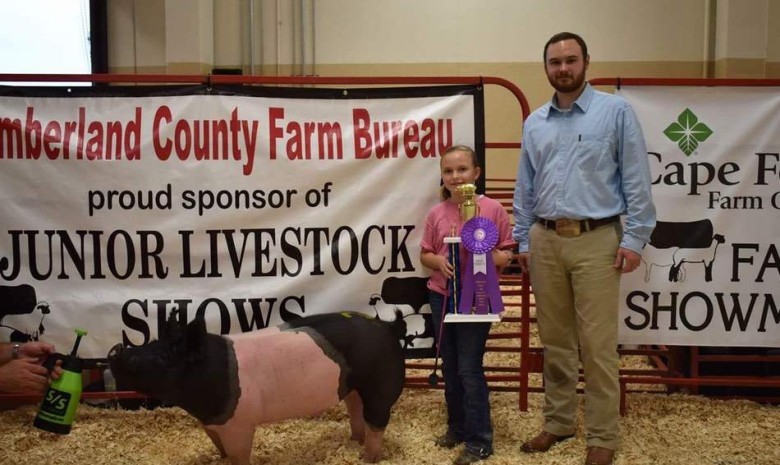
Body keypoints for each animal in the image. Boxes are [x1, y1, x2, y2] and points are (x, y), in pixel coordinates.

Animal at [108, 310, 408, 462]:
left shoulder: (239, 424)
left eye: (165, 356)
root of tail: (388, 327)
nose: (117, 351)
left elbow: (239, 456)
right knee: (355, 410)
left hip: (382, 384)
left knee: (377, 421)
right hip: (353, 387)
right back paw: (353, 441)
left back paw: (367, 458)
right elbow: (221, 451)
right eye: (152, 343)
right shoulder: (212, 424)